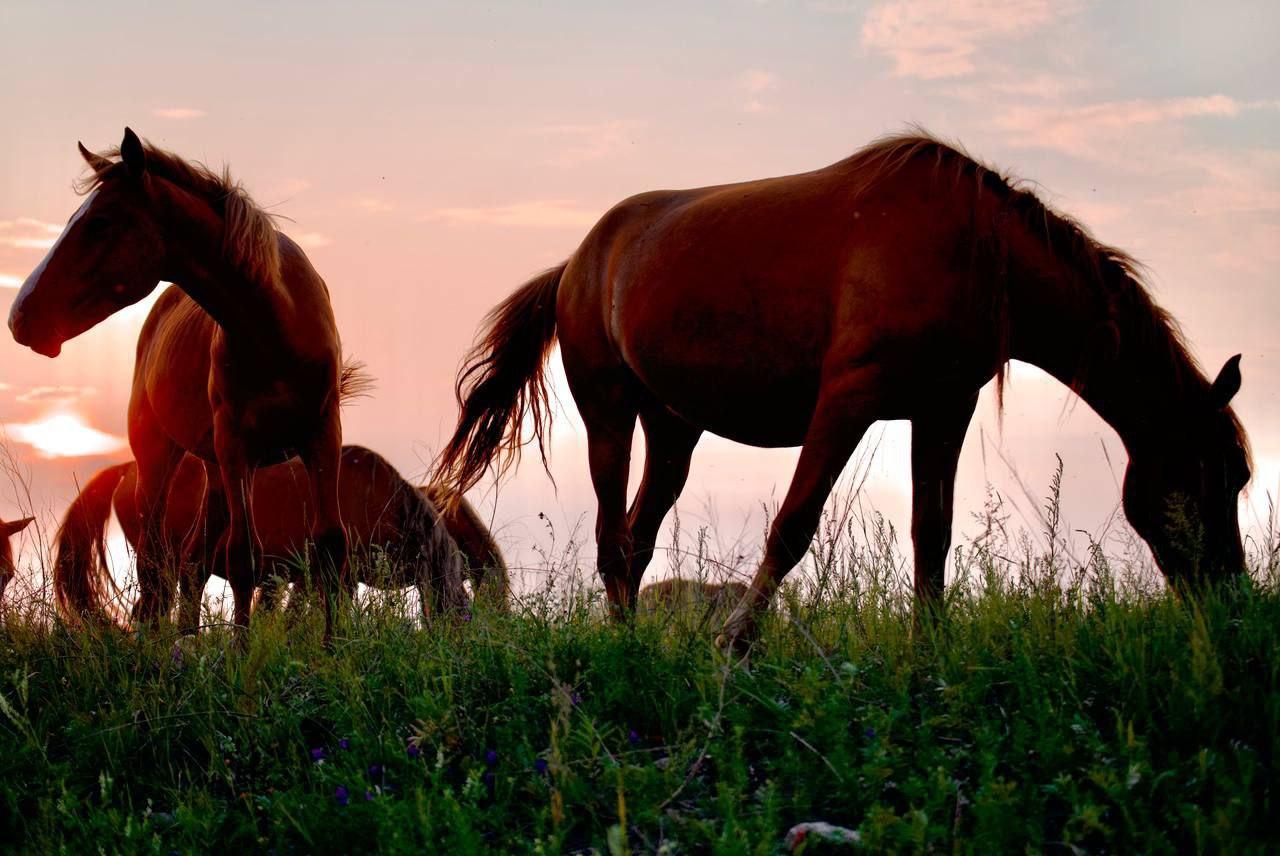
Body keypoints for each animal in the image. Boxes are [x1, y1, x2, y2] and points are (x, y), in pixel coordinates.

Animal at [8, 130, 355, 637]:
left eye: (100, 222)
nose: (20, 316)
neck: (276, 326)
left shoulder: (321, 435)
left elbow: (329, 547)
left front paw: (333, 646)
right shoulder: (237, 448)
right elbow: (243, 557)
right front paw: (242, 651)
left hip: (213, 471)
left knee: (191, 561)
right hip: (161, 458)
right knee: (157, 566)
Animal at [437, 128, 1249, 647]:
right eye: (1219, 473)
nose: (1232, 597)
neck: (976, 247)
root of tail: (575, 264)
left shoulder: (942, 409)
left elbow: (932, 535)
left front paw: (931, 650)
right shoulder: (848, 401)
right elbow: (793, 525)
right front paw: (737, 644)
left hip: (674, 431)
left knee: (636, 541)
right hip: (609, 414)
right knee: (612, 540)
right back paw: (624, 652)